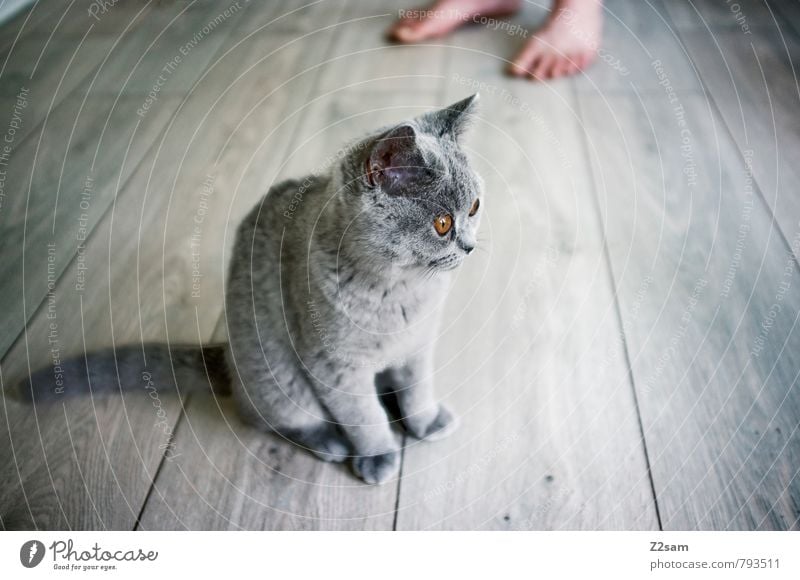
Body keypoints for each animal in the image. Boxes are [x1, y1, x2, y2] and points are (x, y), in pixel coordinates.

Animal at [20, 95, 482, 484]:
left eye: (475, 207)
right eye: (443, 223)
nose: (470, 245)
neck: (403, 291)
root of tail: (226, 357)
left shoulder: (417, 348)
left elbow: (416, 388)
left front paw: (424, 420)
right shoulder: (334, 365)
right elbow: (363, 415)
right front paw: (379, 454)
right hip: (279, 374)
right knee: (270, 417)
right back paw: (328, 441)